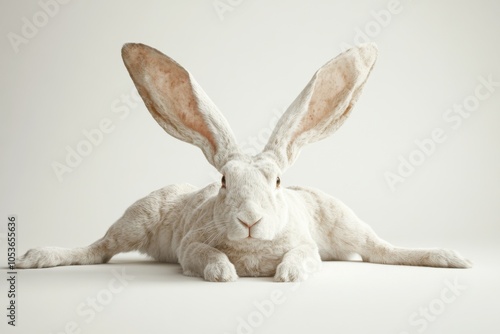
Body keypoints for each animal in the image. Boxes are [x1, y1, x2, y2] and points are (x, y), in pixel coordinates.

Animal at [14, 43, 468, 280]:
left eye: (278, 182)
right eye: (223, 182)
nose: (250, 219)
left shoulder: (306, 244)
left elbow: (303, 257)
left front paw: (286, 274)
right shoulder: (190, 245)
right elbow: (204, 257)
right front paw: (225, 273)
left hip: (345, 221)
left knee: (380, 251)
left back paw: (451, 258)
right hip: (139, 216)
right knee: (101, 249)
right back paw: (37, 258)